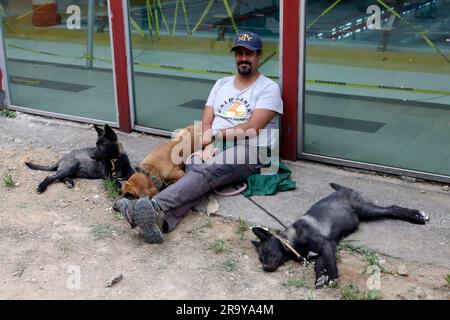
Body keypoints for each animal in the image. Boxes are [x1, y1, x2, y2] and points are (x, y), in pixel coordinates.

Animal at [251, 184, 430, 288]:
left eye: (267, 251)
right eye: (260, 259)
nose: (265, 268)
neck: (291, 241)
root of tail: (343, 189)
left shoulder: (327, 245)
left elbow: (331, 264)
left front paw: (332, 278)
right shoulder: (321, 253)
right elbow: (319, 266)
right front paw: (320, 278)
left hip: (367, 210)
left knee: (391, 209)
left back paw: (417, 216)